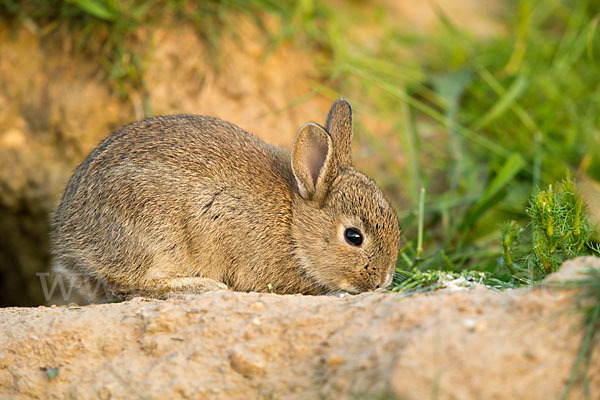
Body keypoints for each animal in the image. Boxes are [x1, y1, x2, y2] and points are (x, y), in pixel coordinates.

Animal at [49, 98, 400, 302]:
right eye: (353, 237)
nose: (382, 281)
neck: (294, 224)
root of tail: (69, 241)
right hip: (149, 230)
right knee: (127, 285)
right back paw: (204, 287)